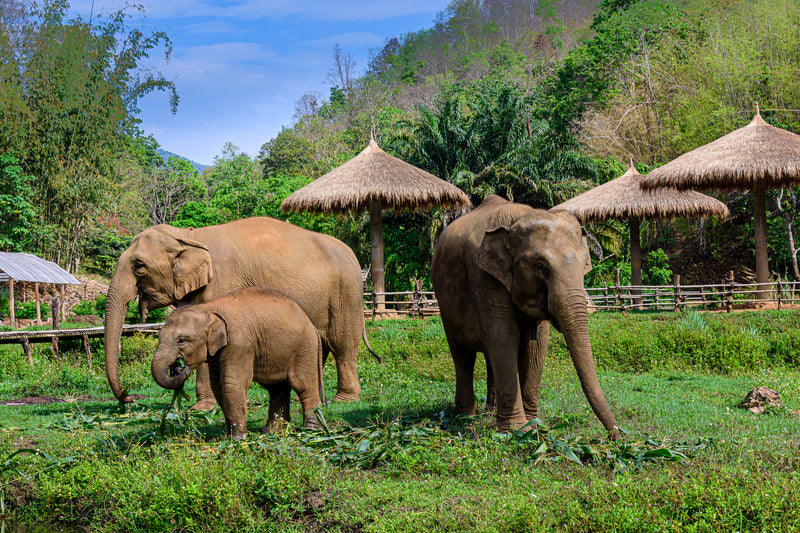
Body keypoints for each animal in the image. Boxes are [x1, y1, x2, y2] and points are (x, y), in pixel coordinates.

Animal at [104, 216, 378, 408]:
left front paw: (202, 408)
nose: (129, 398)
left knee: (342, 345)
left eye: (139, 266)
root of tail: (353, 255)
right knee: (319, 347)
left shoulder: (221, 282)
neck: (188, 235)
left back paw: (343, 401)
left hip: (345, 294)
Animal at [150, 286, 324, 436]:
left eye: (181, 341)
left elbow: (232, 383)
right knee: (277, 388)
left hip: (305, 348)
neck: (208, 308)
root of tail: (312, 325)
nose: (179, 367)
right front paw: (230, 437)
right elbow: (218, 385)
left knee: (303, 385)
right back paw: (272, 432)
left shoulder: (239, 344)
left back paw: (311, 431)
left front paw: (237, 439)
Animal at [432, 195, 620, 436]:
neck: (518, 218)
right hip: (445, 303)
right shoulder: (483, 275)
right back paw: (465, 418)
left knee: (488, 354)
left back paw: (490, 413)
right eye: (541, 266)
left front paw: (534, 426)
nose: (616, 435)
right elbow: (504, 336)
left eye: (584, 265)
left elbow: (535, 344)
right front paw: (516, 430)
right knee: (463, 355)